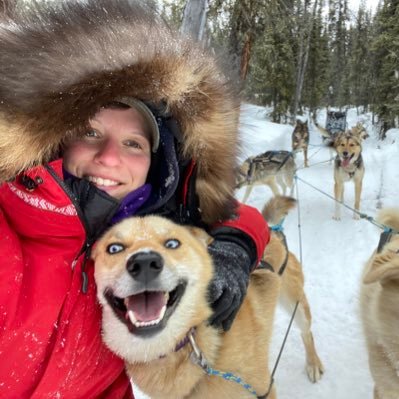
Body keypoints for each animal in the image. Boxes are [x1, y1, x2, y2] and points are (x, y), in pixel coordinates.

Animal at [92, 198, 324, 398]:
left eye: (172, 243)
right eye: (114, 248)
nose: (144, 262)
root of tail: (272, 230)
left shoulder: (263, 390)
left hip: (296, 306)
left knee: (307, 333)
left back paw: (313, 364)